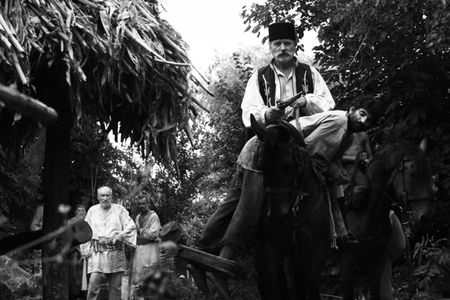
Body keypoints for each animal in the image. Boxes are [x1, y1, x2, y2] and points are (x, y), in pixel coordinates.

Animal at [251, 115, 328, 300]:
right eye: (260, 165)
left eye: (289, 164)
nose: (277, 217)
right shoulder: (269, 251)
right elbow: (271, 287)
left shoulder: (316, 251)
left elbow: (310, 286)